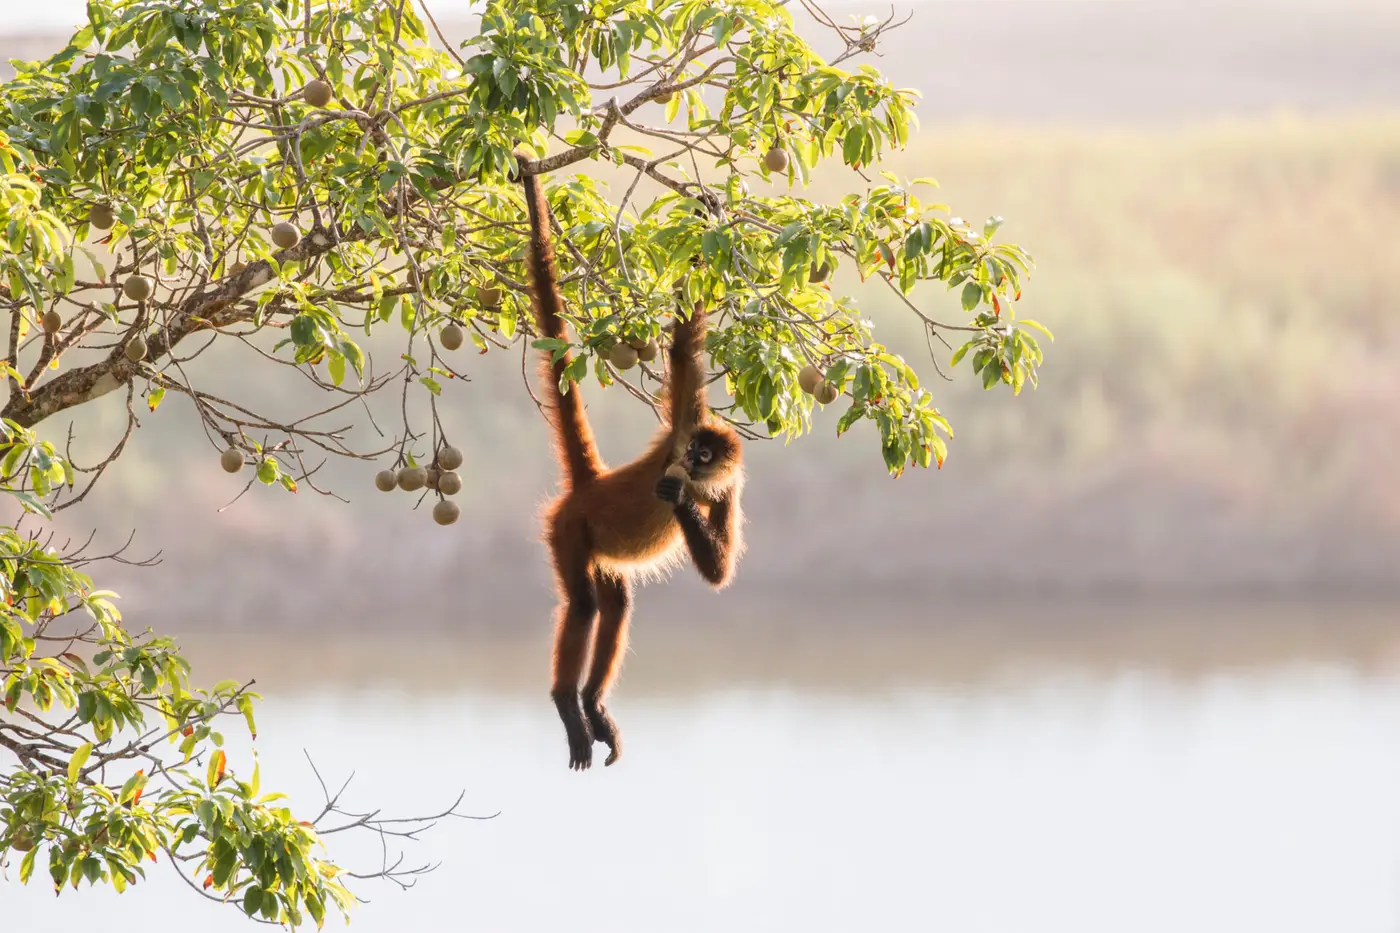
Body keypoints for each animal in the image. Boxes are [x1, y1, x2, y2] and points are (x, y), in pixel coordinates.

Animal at [517, 156, 746, 771]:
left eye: (705, 455)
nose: (688, 462)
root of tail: (589, 486)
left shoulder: (730, 487)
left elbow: (719, 573)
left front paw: (683, 502)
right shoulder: (685, 418)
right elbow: (686, 345)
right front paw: (707, 215)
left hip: (599, 547)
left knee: (616, 605)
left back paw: (593, 705)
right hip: (568, 528)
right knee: (583, 604)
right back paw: (567, 703)